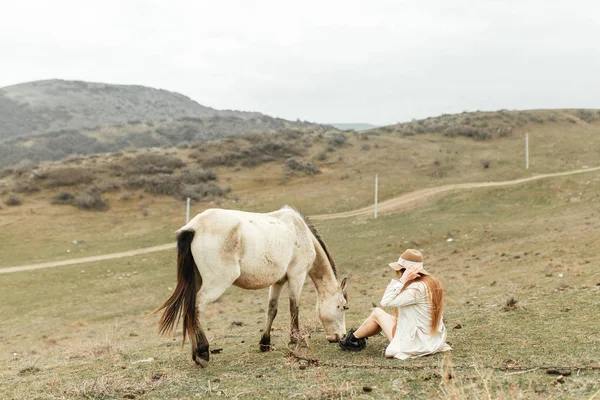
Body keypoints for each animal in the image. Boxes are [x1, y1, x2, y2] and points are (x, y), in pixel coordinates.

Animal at [154, 206, 346, 366]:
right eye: (343, 306)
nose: (341, 337)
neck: (299, 231)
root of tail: (193, 228)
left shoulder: (278, 281)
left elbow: (272, 310)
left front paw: (265, 343)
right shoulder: (296, 276)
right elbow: (294, 309)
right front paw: (296, 339)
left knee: (188, 310)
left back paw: (195, 353)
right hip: (216, 284)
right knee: (195, 308)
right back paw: (202, 353)